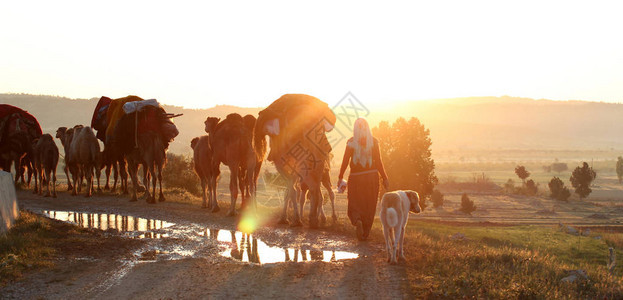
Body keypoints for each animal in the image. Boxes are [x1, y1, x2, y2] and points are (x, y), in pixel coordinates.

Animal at [255, 94, 336, 227]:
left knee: (323, 190)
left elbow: (291, 191)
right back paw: (315, 218)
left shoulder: (286, 164)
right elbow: (290, 191)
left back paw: (319, 218)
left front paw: (293, 219)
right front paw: (289, 218)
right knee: (316, 188)